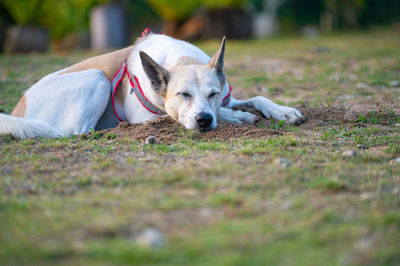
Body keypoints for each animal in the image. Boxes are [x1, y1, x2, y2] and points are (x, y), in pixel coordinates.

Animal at [0, 28, 306, 139]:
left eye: (214, 93)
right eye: (182, 94)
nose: (204, 120)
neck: (180, 60)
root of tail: (17, 111)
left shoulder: (225, 97)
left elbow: (257, 98)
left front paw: (283, 111)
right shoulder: (145, 116)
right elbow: (174, 116)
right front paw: (237, 117)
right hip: (96, 78)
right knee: (74, 131)